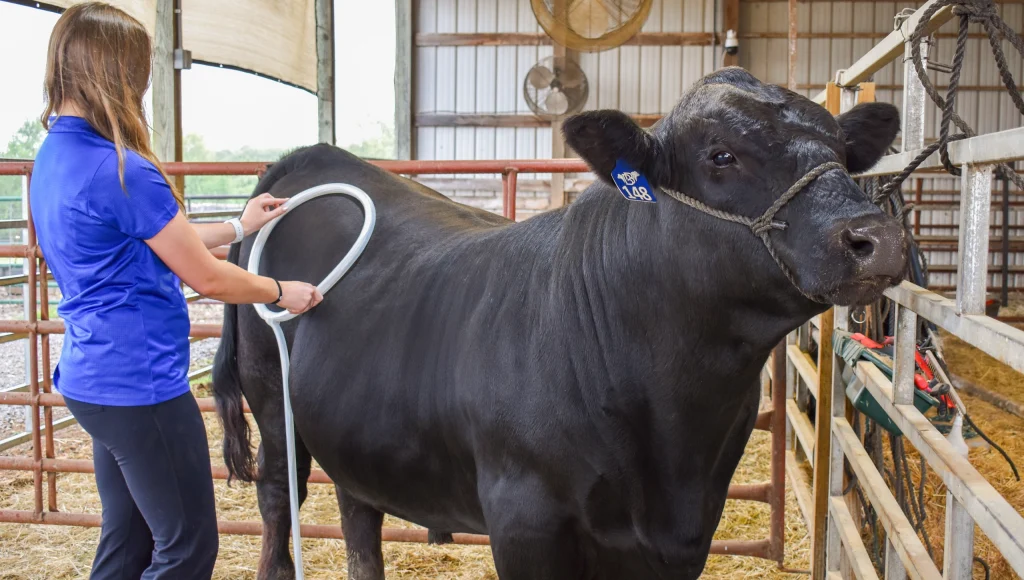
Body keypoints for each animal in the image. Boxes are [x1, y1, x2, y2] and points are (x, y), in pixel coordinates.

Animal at [213, 67, 907, 580]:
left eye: (845, 154)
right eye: (722, 154)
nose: (877, 237)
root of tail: (311, 159)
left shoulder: (688, 529)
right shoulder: (526, 520)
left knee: (359, 514)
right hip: (272, 406)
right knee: (277, 501)